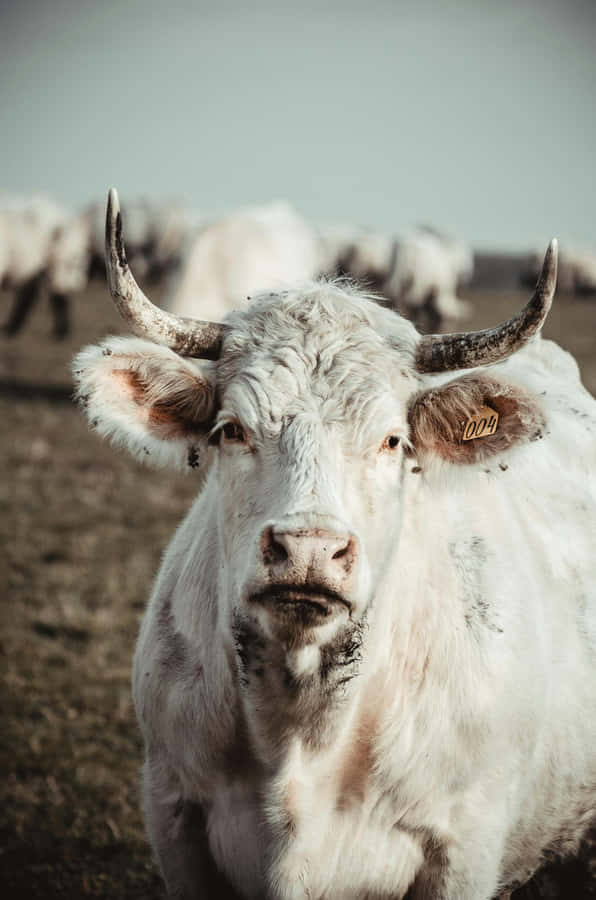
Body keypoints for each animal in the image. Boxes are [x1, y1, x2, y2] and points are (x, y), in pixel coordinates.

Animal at [73, 189, 596, 900]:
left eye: (393, 440)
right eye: (230, 430)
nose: (309, 551)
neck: (300, 726)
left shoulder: (465, 847)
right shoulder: (174, 815)